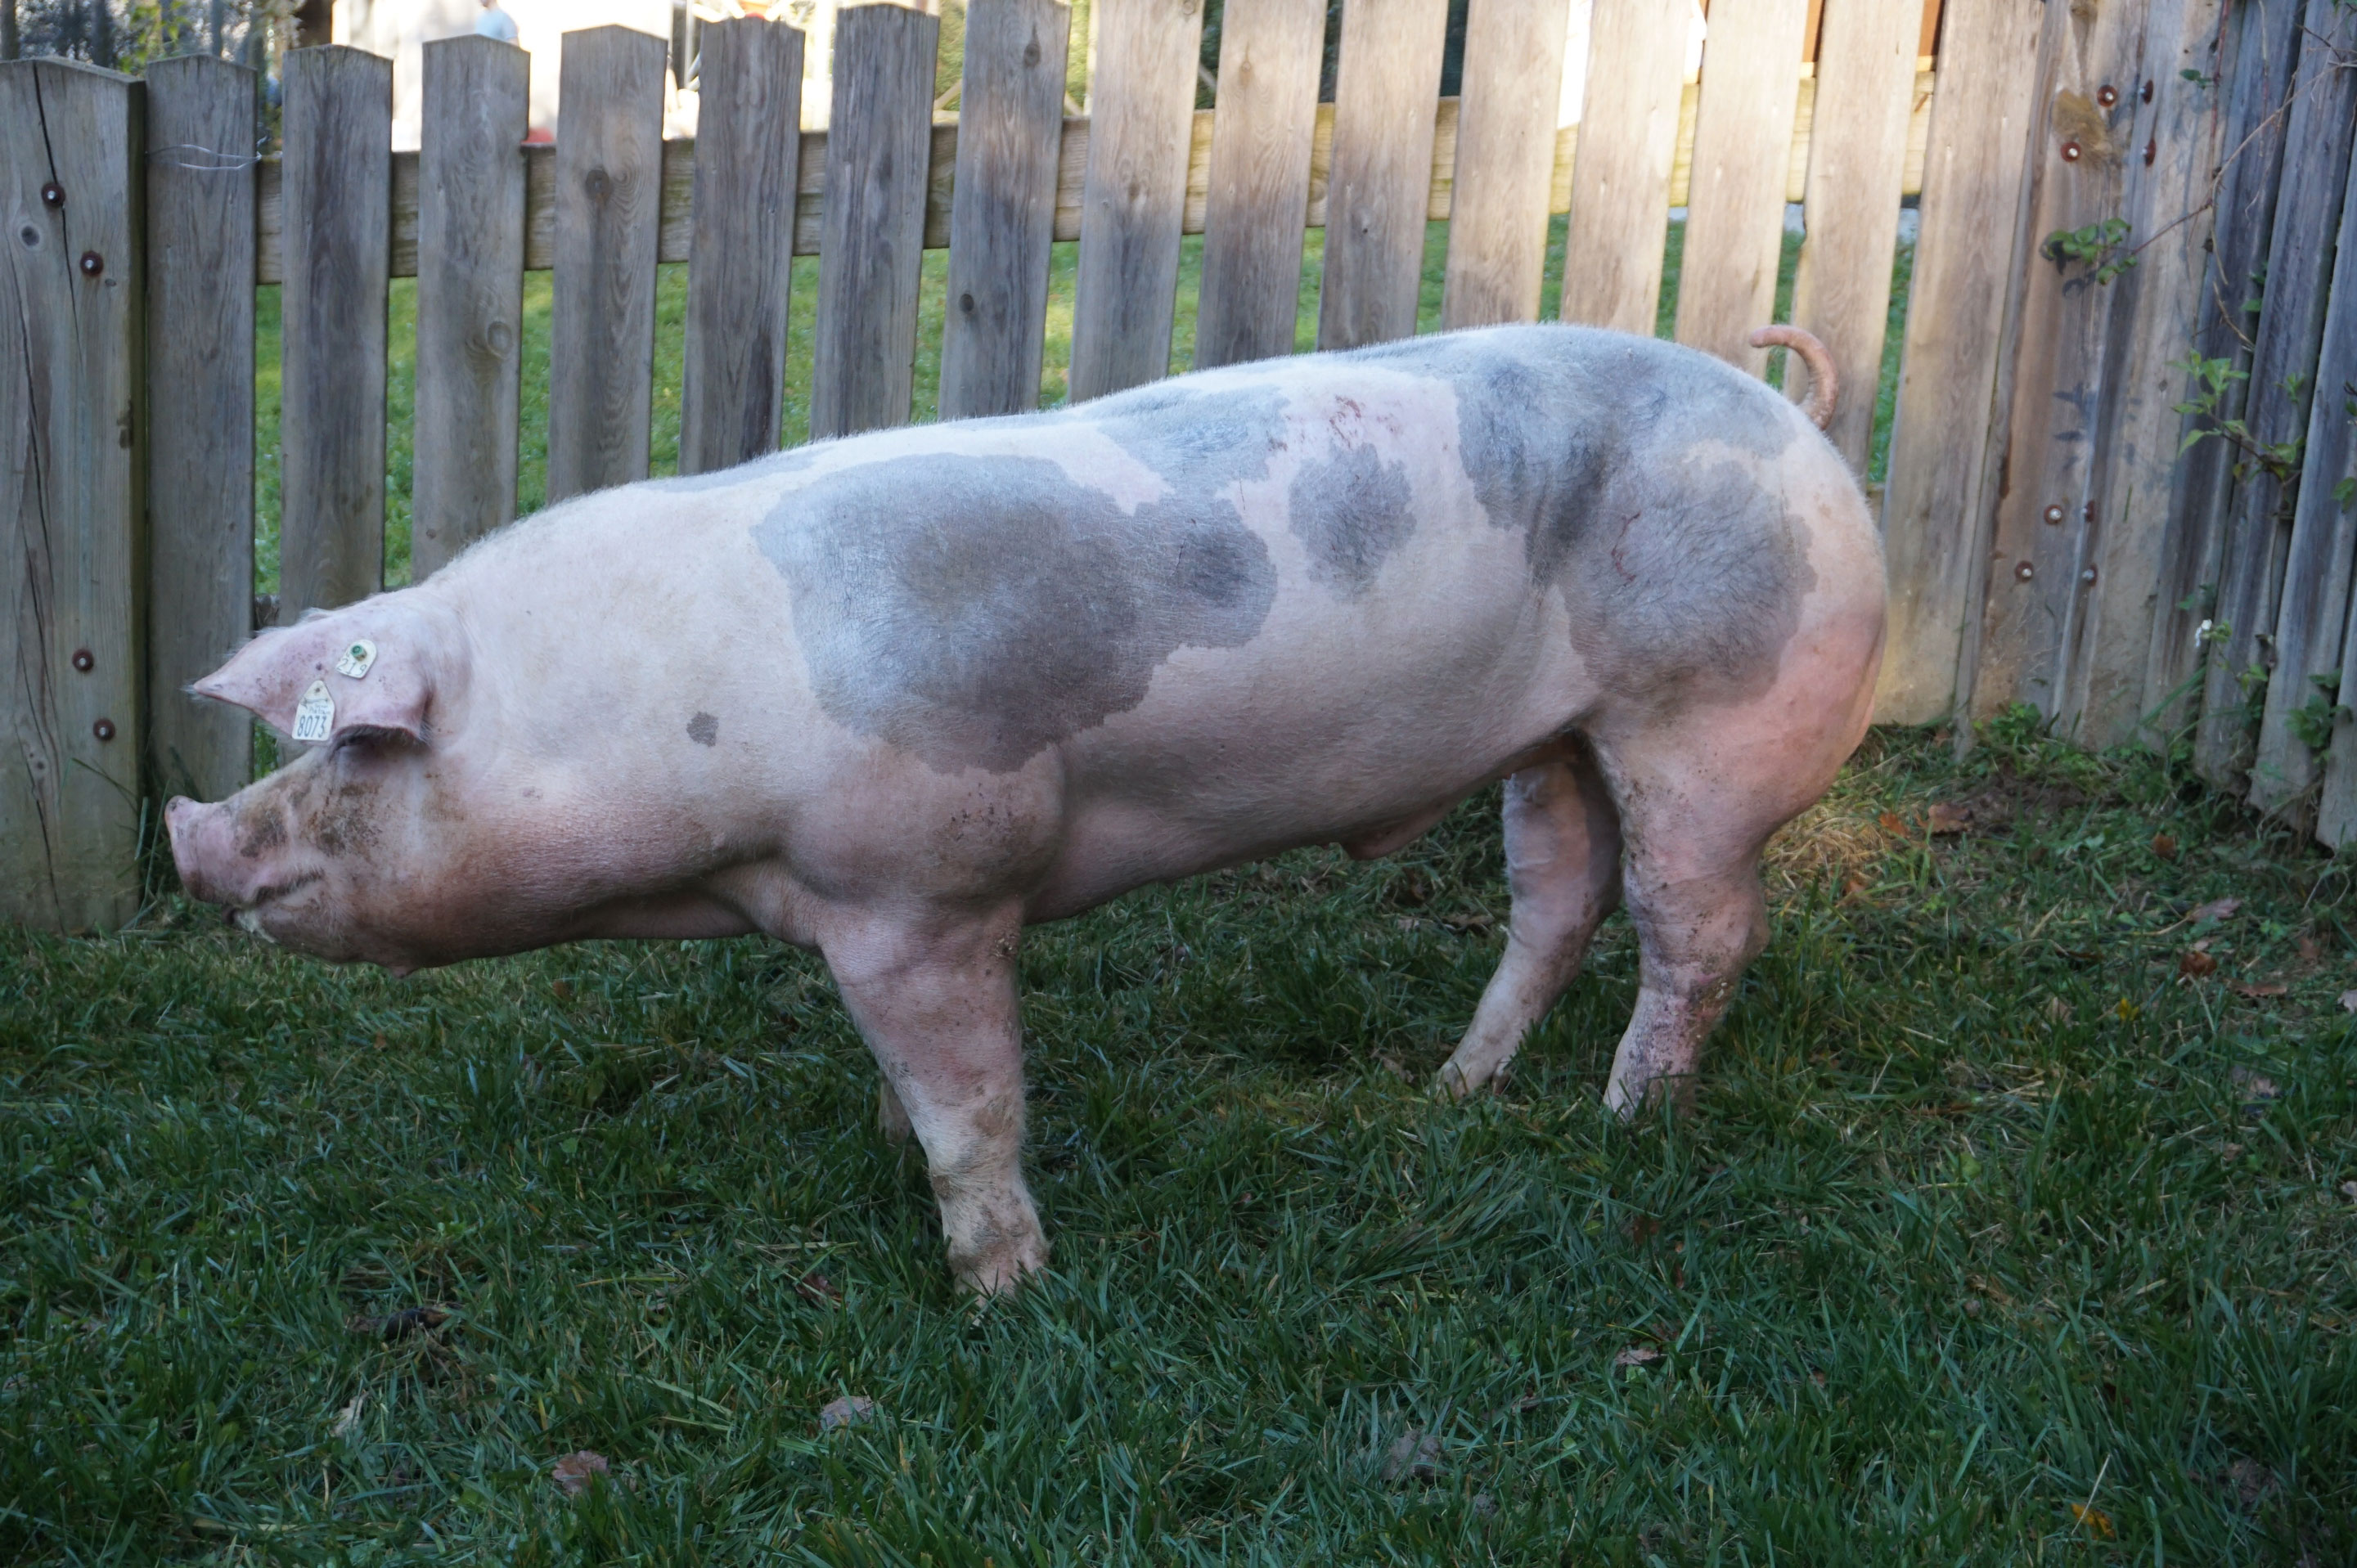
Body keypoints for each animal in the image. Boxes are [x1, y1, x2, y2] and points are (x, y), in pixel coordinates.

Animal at [168, 322, 1885, 1293]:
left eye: (363, 750)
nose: (194, 838)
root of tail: (1795, 420)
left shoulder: (927, 887)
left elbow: (972, 1101)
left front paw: (1005, 1293)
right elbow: (902, 1083)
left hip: (1710, 724)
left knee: (1699, 927)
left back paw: (1627, 1121)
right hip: (1560, 737)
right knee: (1557, 895)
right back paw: (1454, 1093)